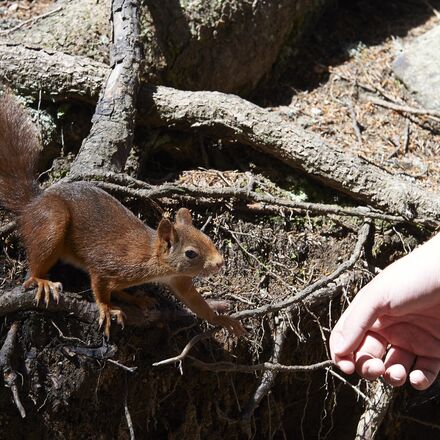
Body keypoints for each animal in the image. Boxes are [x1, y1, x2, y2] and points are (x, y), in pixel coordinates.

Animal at [0, 94, 244, 336]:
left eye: (209, 239)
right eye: (191, 253)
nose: (220, 263)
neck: (153, 259)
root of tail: (32, 204)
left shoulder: (178, 279)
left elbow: (195, 302)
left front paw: (223, 320)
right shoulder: (108, 264)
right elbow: (99, 287)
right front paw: (106, 309)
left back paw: (136, 298)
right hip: (53, 222)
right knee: (36, 265)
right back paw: (42, 281)